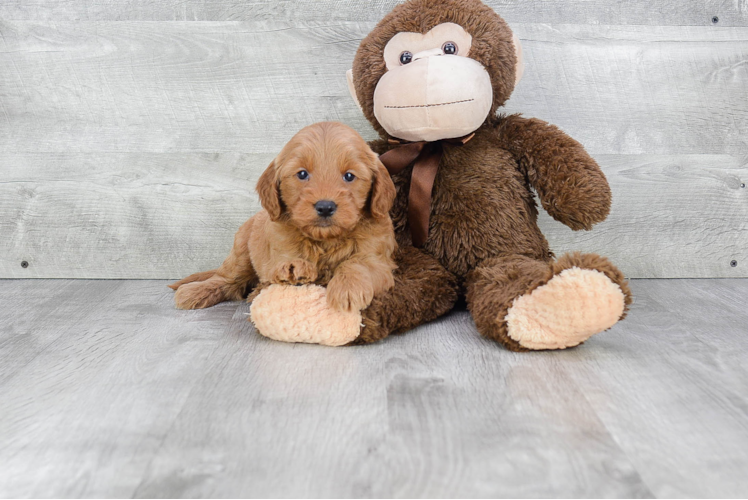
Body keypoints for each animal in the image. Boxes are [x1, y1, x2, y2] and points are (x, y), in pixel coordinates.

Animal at [169, 121, 398, 312]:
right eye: (302, 174)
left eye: (349, 176)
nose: (325, 207)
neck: (325, 240)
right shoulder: (280, 249)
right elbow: (286, 261)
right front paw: (294, 267)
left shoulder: (378, 259)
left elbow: (357, 264)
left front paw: (347, 288)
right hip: (241, 251)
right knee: (226, 278)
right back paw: (195, 291)